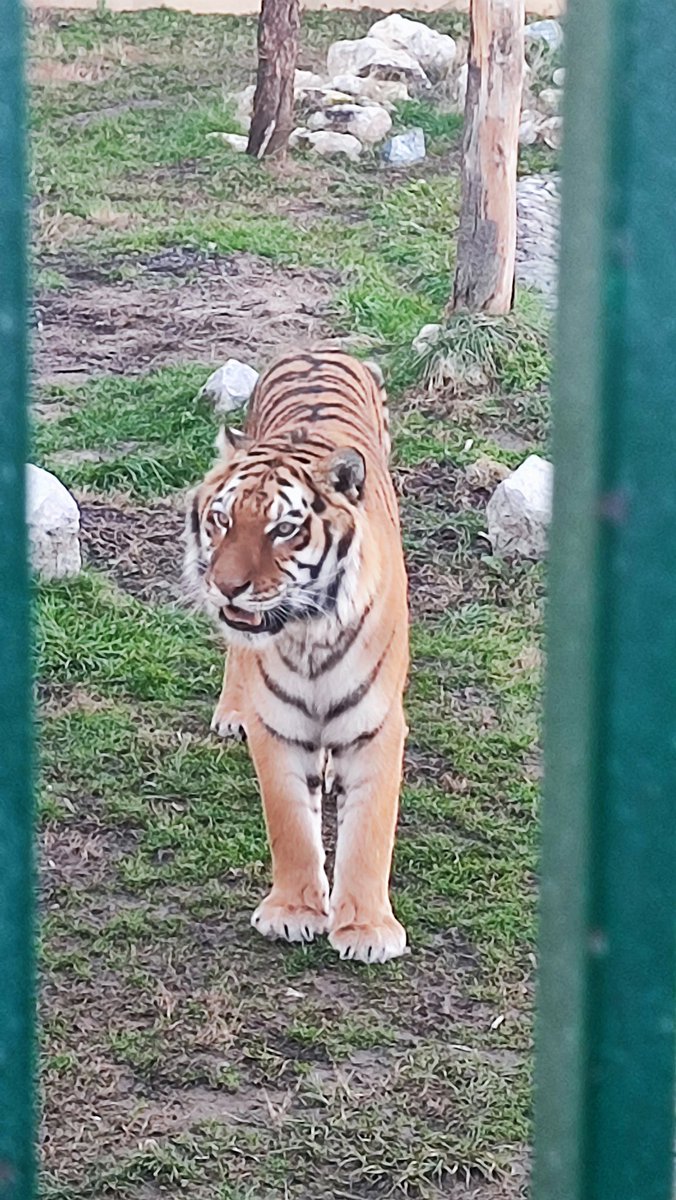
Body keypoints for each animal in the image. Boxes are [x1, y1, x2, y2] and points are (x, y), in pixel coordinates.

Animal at [184, 348, 409, 964]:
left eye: (284, 529)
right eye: (222, 519)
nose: (227, 587)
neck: (309, 634)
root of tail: (319, 345)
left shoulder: (378, 724)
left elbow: (369, 832)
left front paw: (367, 930)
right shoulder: (278, 725)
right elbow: (289, 822)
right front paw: (293, 912)